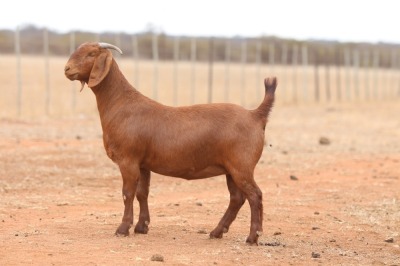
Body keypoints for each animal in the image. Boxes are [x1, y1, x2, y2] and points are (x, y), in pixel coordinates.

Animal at [65, 42, 278, 245]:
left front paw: (123, 229)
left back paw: (252, 237)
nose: (67, 69)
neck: (121, 104)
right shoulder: (143, 164)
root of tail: (255, 115)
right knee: (237, 198)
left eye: (91, 54)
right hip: (231, 169)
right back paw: (217, 232)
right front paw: (142, 227)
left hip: (242, 166)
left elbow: (128, 193)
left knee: (255, 195)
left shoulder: (128, 160)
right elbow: (142, 193)